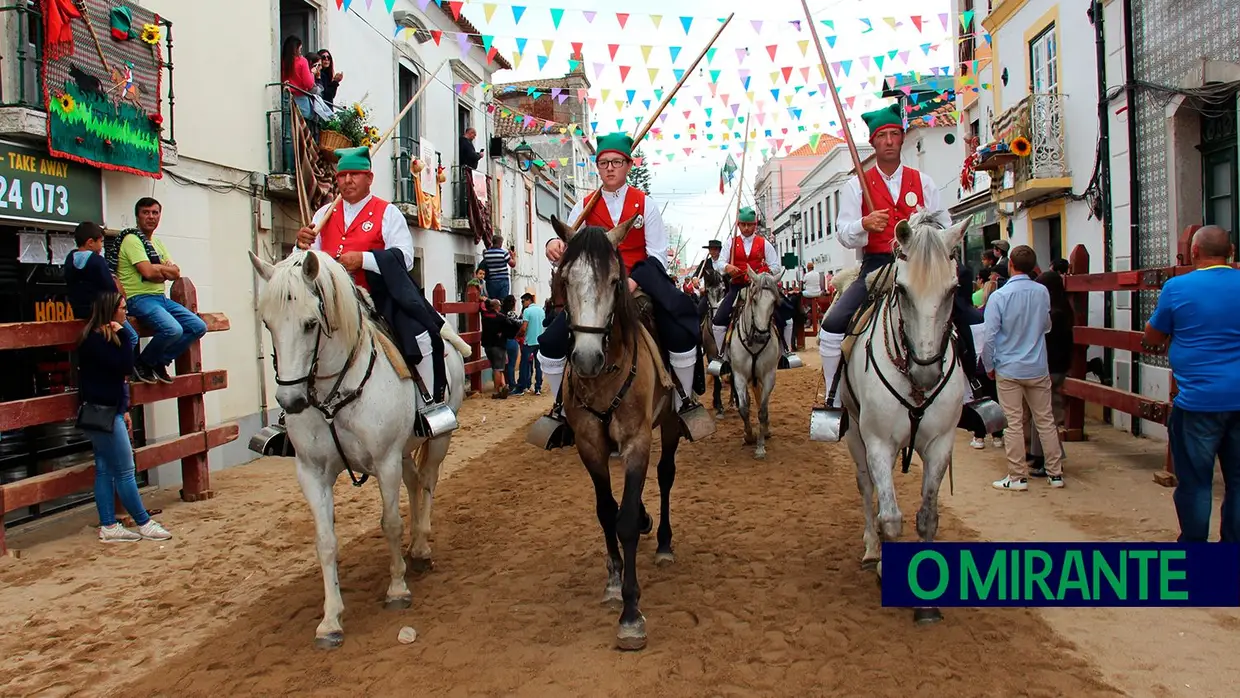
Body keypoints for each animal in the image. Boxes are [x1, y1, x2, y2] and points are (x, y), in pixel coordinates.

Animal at [248, 250, 468, 649]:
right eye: (267, 324)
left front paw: (397, 589)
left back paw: (421, 547)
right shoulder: (312, 473)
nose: (291, 401)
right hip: (403, 450)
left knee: (427, 482)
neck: (333, 393)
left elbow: (390, 523)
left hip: (437, 439)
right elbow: (325, 542)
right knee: (415, 483)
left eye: (310, 324)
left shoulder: (384, 461)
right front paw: (330, 619)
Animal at [548, 215, 684, 654]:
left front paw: (630, 614)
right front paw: (613, 581)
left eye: (614, 280)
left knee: (665, 476)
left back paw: (663, 542)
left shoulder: (638, 441)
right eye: (566, 278)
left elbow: (623, 521)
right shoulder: (591, 446)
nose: (586, 358)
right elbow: (608, 511)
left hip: (670, 424)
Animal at [724, 270, 778, 461]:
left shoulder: (769, 375)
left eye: (773, 302)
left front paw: (760, 447)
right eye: (754, 300)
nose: (762, 336)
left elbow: (762, 410)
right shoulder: (739, 376)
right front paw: (749, 436)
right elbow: (744, 409)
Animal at [833, 212, 967, 622]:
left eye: (953, 290)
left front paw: (927, 604)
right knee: (867, 488)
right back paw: (870, 549)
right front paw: (882, 566)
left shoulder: (940, 444)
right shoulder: (878, 442)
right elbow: (890, 517)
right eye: (904, 291)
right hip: (857, 438)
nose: (927, 372)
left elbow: (927, 517)